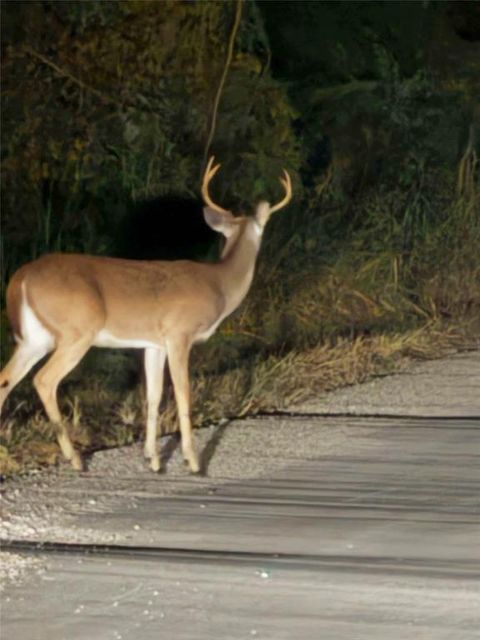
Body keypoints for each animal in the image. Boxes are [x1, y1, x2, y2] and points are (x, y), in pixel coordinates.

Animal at [0, 158, 292, 472]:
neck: (220, 283)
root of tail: (21, 278)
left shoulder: (154, 343)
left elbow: (153, 396)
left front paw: (153, 459)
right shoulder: (179, 333)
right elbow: (183, 394)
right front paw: (192, 460)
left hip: (34, 338)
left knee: (5, 378)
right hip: (76, 331)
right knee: (44, 380)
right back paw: (75, 458)